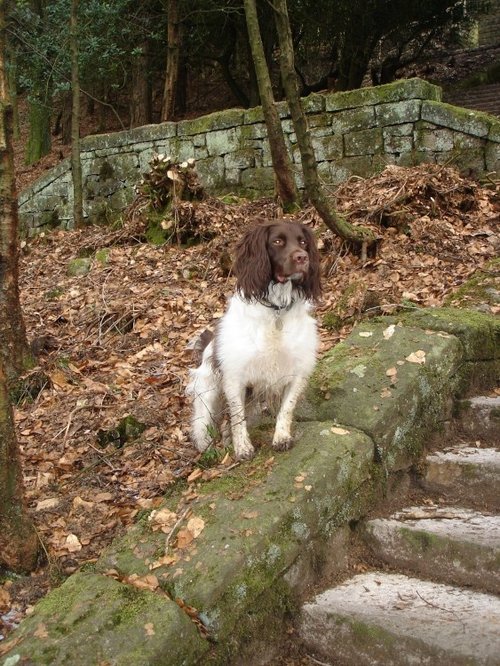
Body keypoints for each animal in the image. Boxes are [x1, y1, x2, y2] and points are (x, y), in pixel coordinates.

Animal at [187, 220, 320, 460]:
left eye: (303, 242)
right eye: (277, 241)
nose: (302, 257)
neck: (277, 311)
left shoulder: (297, 372)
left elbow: (286, 408)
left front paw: (281, 437)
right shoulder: (235, 378)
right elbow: (237, 418)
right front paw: (243, 449)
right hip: (208, 393)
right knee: (203, 425)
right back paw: (208, 450)